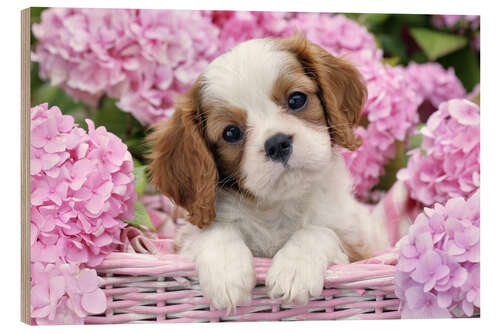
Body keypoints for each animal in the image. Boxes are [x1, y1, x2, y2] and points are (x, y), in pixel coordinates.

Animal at [147, 35, 390, 312]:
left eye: (296, 99)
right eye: (231, 133)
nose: (277, 143)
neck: (277, 206)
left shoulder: (358, 248)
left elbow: (318, 232)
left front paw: (295, 270)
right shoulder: (183, 240)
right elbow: (214, 231)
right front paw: (226, 271)